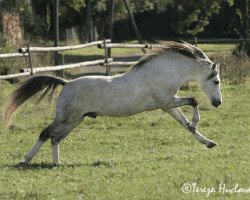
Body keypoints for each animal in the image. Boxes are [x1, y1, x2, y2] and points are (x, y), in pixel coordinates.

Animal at [3, 41, 222, 165]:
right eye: (216, 81)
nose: (218, 103)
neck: (162, 73)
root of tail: (66, 83)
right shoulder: (168, 101)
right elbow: (193, 101)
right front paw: (197, 123)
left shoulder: (168, 106)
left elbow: (186, 126)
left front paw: (209, 143)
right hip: (66, 118)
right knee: (45, 133)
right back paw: (26, 160)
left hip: (76, 120)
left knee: (55, 139)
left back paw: (57, 164)